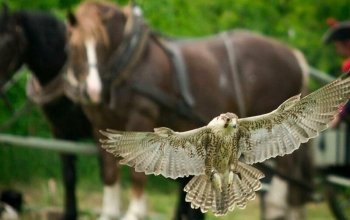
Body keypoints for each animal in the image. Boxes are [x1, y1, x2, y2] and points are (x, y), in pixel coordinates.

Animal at [65, 0, 312, 219]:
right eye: (74, 47)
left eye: (102, 44)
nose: (92, 91)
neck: (132, 61)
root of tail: (294, 54)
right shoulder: (99, 122)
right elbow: (108, 173)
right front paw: (108, 213)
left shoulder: (141, 116)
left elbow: (137, 174)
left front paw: (134, 213)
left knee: (282, 182)